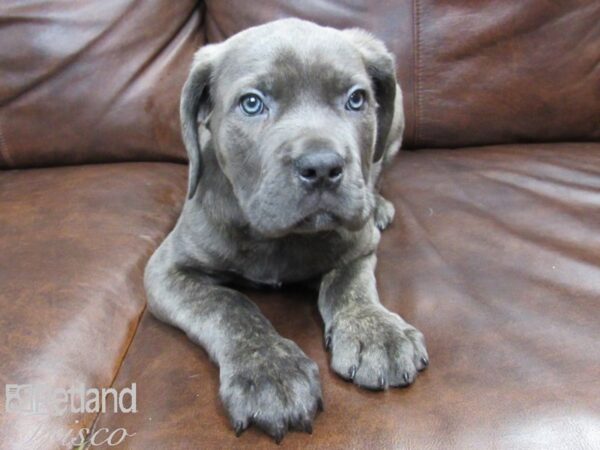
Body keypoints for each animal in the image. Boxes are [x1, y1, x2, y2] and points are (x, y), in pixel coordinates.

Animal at [145, 18, 426, 442]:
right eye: (251, 103)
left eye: (356, 99)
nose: (323, 167)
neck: (279, 239)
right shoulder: (166, 270)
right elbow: (228, 305)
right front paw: (267, 369)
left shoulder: (359, 246)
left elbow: (350, 285)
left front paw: (376, 331)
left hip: (395, 124)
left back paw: (378, 204)